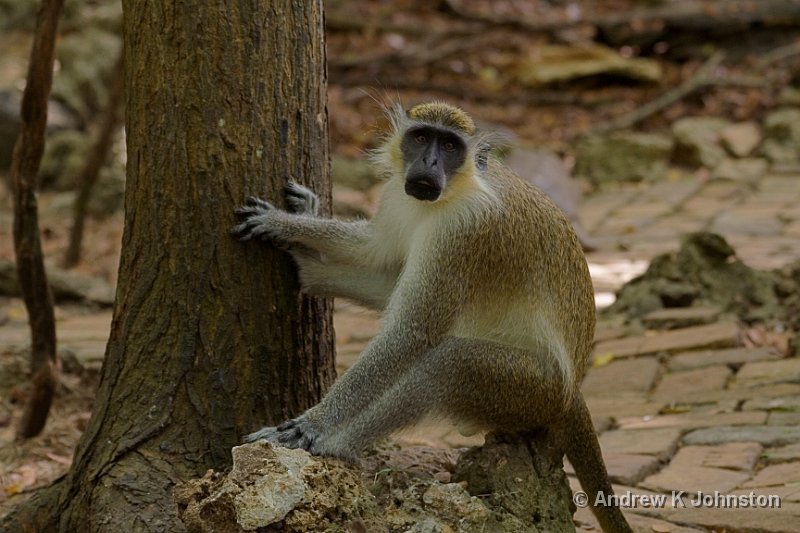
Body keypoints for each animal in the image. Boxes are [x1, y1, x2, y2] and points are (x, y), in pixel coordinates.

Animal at [231, 101, 632, 532]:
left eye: (451, 145)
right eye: (422, 137)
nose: (430, 162)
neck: (456, 190)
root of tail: (571, 391)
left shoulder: (466, 232)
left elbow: (412, 334)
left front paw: (313, 425)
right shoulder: (397, 195)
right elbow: (374, 252)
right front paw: (298, 229)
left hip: (530, 390)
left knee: (446, 364)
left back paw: (336, 446)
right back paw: (312, 272)